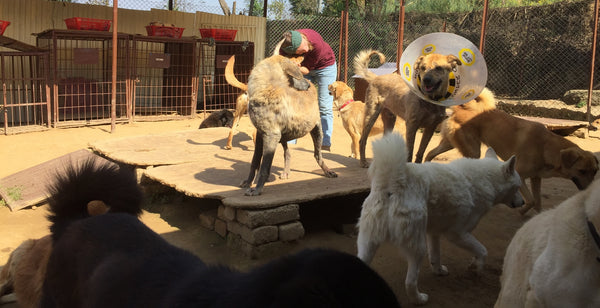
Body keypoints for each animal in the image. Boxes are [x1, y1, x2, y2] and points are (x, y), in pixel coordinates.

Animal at [237, 54, 338, 196]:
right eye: (299, 73)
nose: (309, 84)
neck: (267, 87)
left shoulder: (271, 135)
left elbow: (264, 168)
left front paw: (257, 189)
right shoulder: (261, 134)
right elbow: (255, 162)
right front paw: (248, 182)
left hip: (317, 131)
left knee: (318, 155)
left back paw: (328, 171)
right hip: (284, 136)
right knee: (288, 153)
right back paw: (285, 172)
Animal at [358, 133, 524, 306]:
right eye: (518, 187)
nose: (523, 203)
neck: (487, 181)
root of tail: (393, 184)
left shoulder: (434, 232)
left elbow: (436, 255)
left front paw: (438, 271)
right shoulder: (457, 234)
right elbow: (482, 250)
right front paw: (476, 267)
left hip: (368, 243)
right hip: (418, 249)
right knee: (410, 282)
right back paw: (419, 299)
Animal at [424, 88, 596, 214]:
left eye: (595, 171)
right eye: (581, 171)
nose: (590, 190)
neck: (546, 147)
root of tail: (462, 107)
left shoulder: (536, 178)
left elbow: (538, 202)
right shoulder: (520, 174)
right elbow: (532, 200)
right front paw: (522, 211)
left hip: (451, 144)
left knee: (430, 153)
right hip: (472, 151)